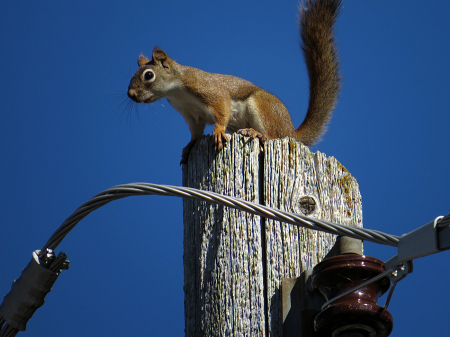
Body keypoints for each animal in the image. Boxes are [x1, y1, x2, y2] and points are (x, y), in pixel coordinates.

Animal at [126, 0, 342, 163]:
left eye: (148, 75)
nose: (131, 95)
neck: (177, 92)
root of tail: (291, 132)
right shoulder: (192, 115)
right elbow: (196, 133)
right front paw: (188, 147)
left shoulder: (209, 90)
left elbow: (222, 109)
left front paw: (218, 131)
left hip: (263, 107)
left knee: (272, 136)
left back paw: (257, 133)